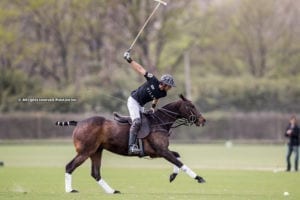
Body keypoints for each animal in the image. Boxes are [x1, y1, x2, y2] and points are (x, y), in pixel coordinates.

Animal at [56, 94, 206, 194]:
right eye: (191, 106)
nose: (203, 120)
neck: (159, 122)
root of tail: (79, 123)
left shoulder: (158, 152)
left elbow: (177, 156)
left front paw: (173, 176)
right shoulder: (161, 151)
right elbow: (180, 162)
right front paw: (199, 178)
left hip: (96, 151)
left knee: (95, 173)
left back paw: (112, 191)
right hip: (86, 151)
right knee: (70, 166)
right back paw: (70, 190)